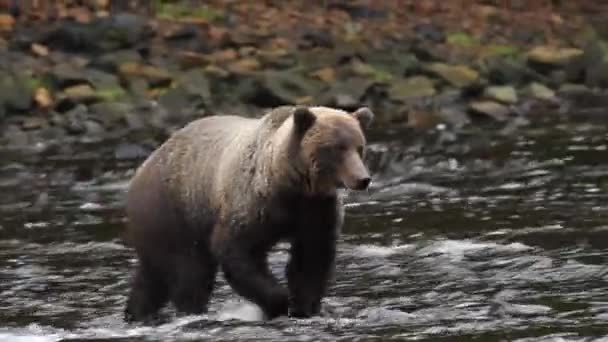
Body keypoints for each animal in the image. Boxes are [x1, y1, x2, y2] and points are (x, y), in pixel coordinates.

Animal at [121, 105, 372, 324]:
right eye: (337, 147)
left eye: (359, 147)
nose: (363, 179)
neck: (289, 183)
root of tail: (142, 169)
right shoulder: (253, 203)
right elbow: (239, 252)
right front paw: (280, 301)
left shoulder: (316, 209)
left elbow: (312, 256)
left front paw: (304, 306)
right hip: (174, 212)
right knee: (188, 272)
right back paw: (190, 310)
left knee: (152, 276)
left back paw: (136, 312)